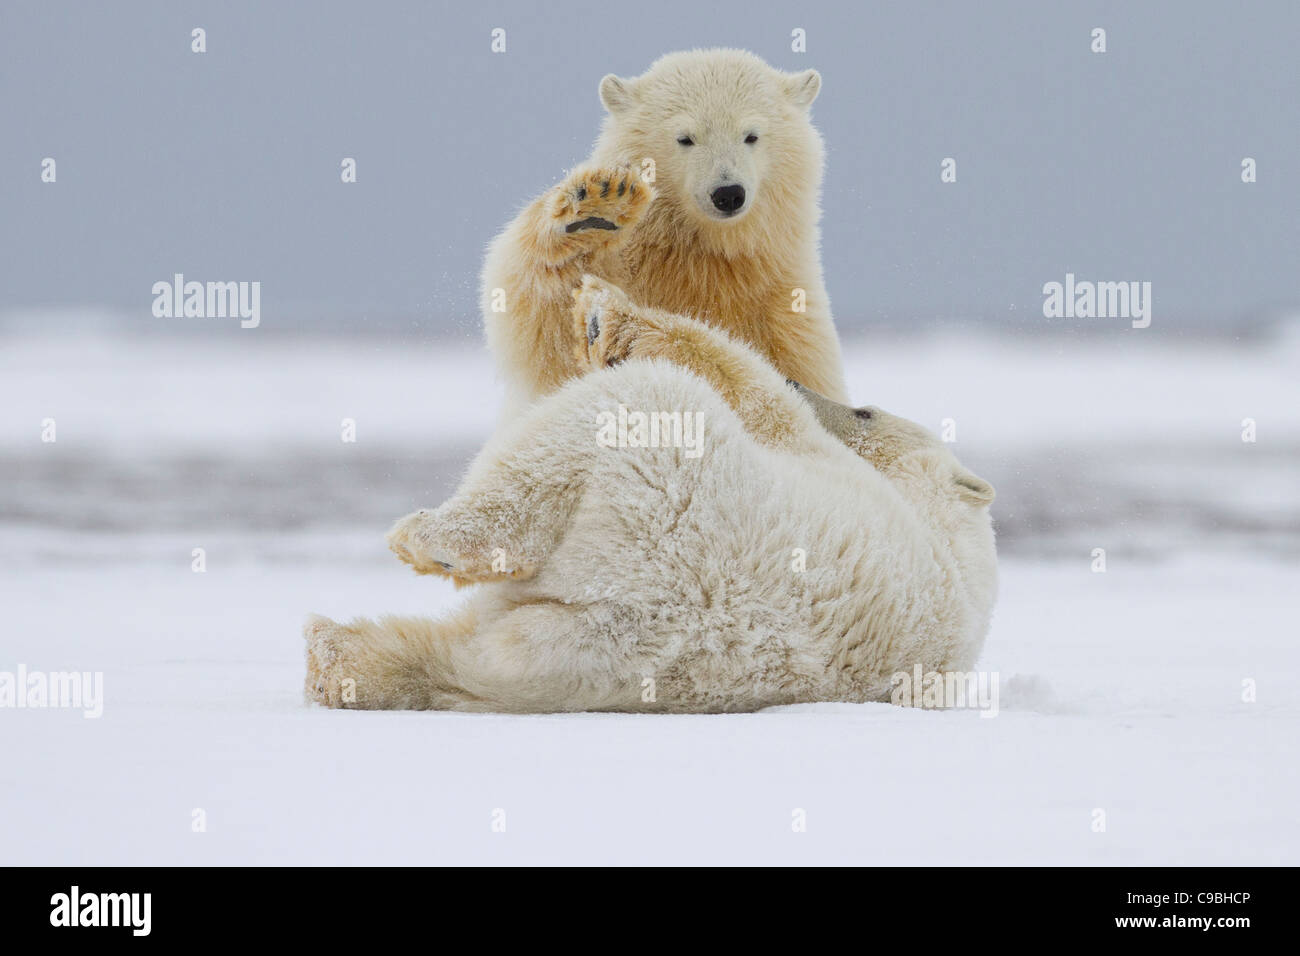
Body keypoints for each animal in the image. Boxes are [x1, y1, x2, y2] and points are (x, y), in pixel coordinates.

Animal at [301, 274, 993, 712]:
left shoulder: (830, 473)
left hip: (659, 484)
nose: (806, 383)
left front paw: (605, 311)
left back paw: (427, 541)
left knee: (593, 425)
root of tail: (657, 611)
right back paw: (336, 658)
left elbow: (755, 393)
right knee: (459, 659)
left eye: (867, 410)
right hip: (577, 666)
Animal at [483, 48, 847, 408]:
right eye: (685, 138)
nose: (728, 193)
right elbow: (547, 332)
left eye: (751, 135)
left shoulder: (786, 316)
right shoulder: (627, 266)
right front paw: (598, 205)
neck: (705, 259)